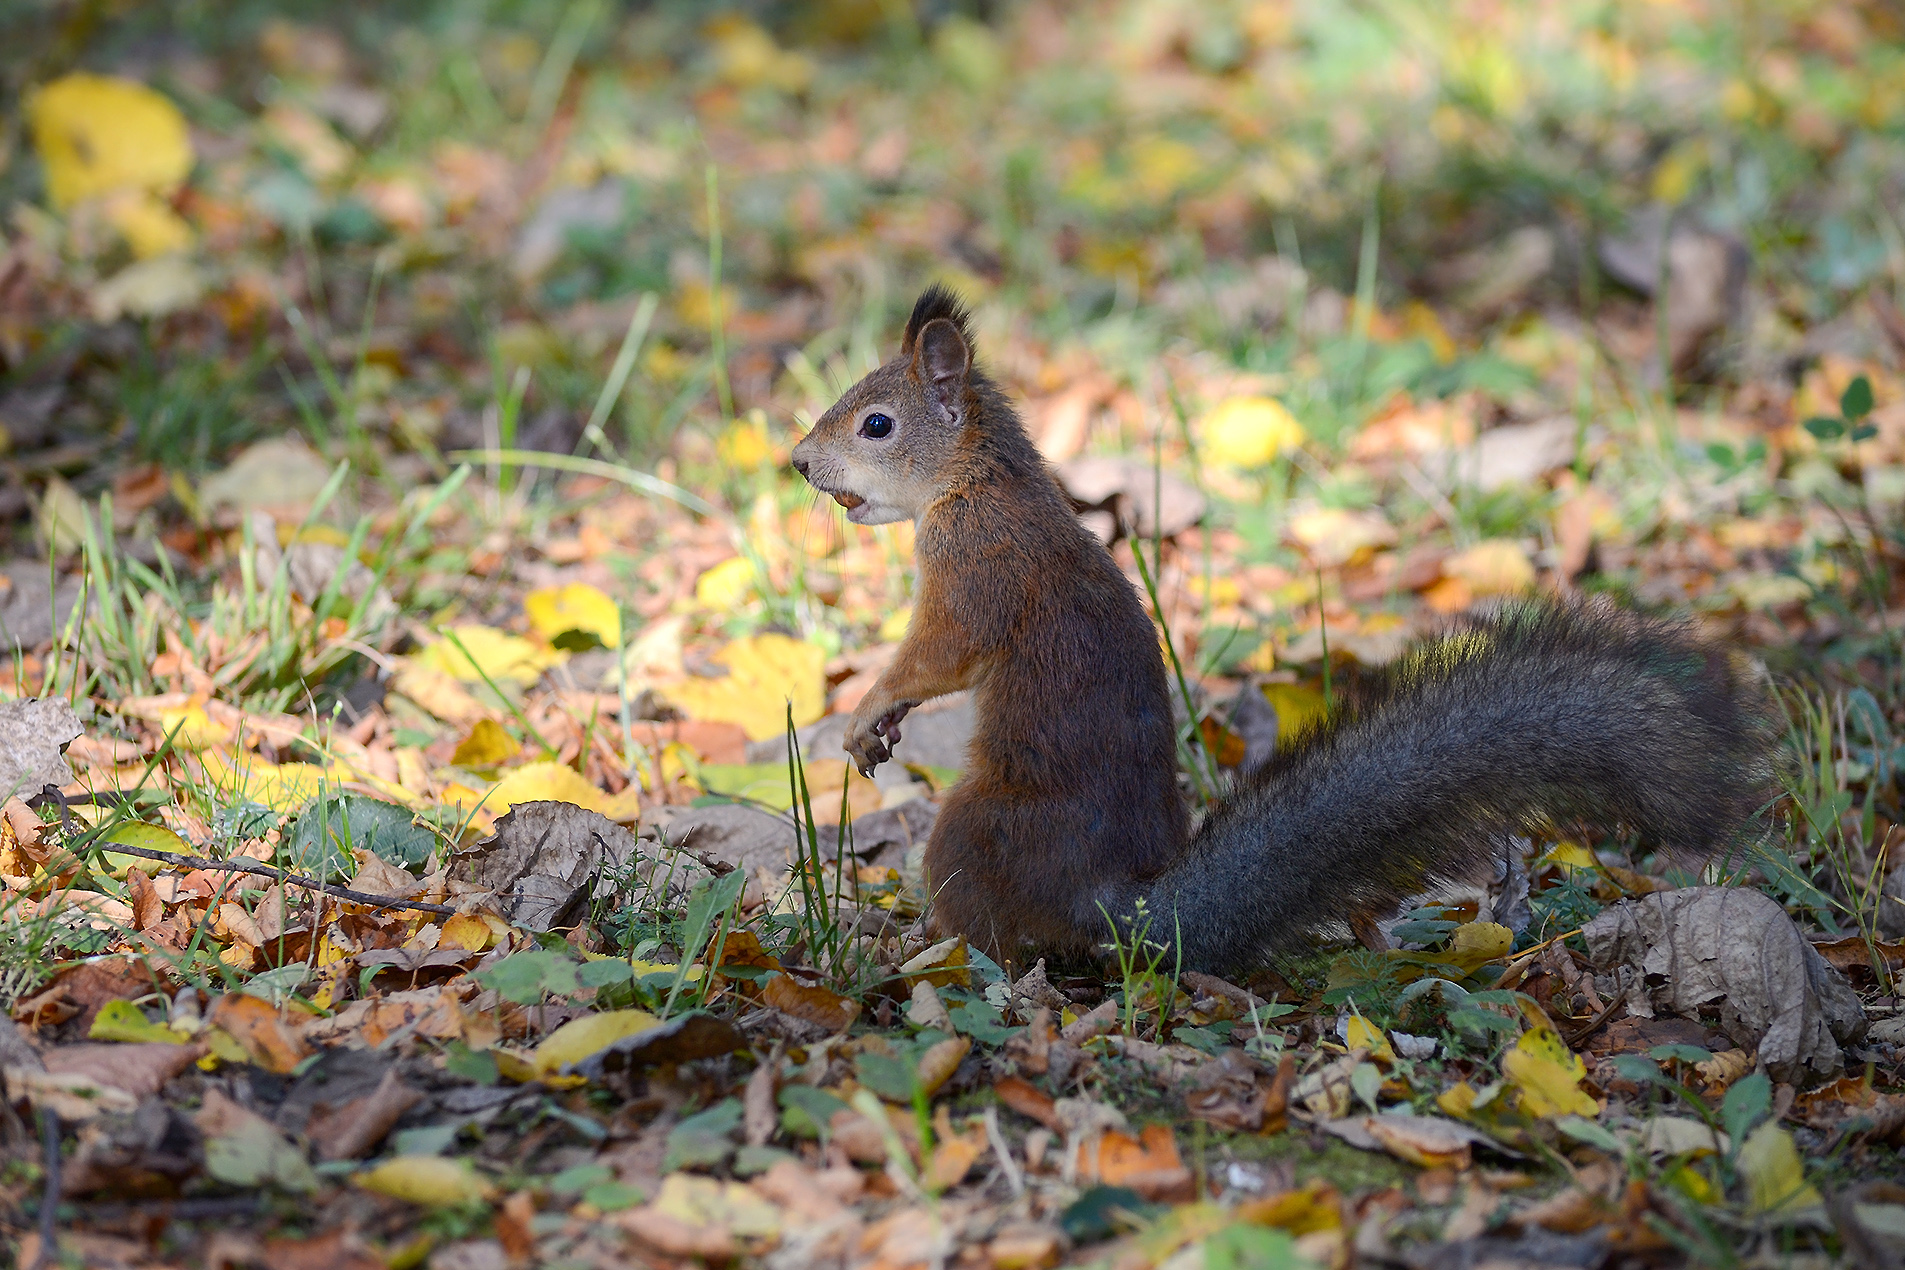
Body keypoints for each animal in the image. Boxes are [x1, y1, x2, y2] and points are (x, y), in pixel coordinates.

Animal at [791, 284, 1776, 974]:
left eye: (877, 424)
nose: (797, 462)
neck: (978, 482)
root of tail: (1114, 905)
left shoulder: (976, 570)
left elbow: (937, 653)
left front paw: (867, 708)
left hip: (971, 832)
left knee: (1001, 936)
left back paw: (929, 950)